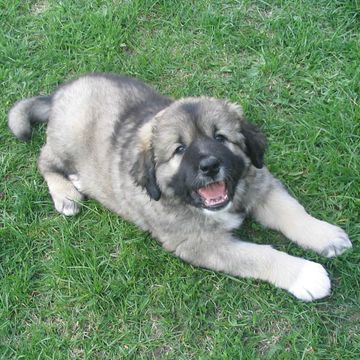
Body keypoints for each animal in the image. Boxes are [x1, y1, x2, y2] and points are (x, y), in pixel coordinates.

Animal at [7, 73, 352, 300]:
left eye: (220, 137)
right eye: (180, 149)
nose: (209, 165)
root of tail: (58, 93)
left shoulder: (259, 184)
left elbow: (292, 212)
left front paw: (325, 235)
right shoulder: (202, 244)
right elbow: (258, 255)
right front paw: (306, 274)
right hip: (66, 140)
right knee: (44, 159)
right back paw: (67, 193)